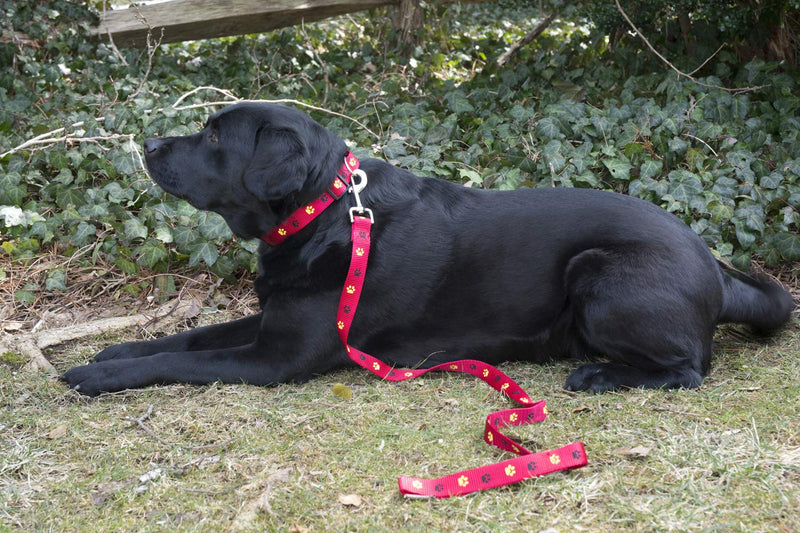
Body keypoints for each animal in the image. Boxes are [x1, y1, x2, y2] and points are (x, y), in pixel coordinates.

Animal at [61, 103, 792, 394]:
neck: (327, 211)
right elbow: (184, 339)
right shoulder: (272, 319)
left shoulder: (277, 357)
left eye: (215, 137)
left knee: (689, 368)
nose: (148, 143)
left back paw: (602, 376)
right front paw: (114, 351)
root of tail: (715, 266)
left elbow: (182, 361)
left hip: (601, 276)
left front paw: (97, 376)